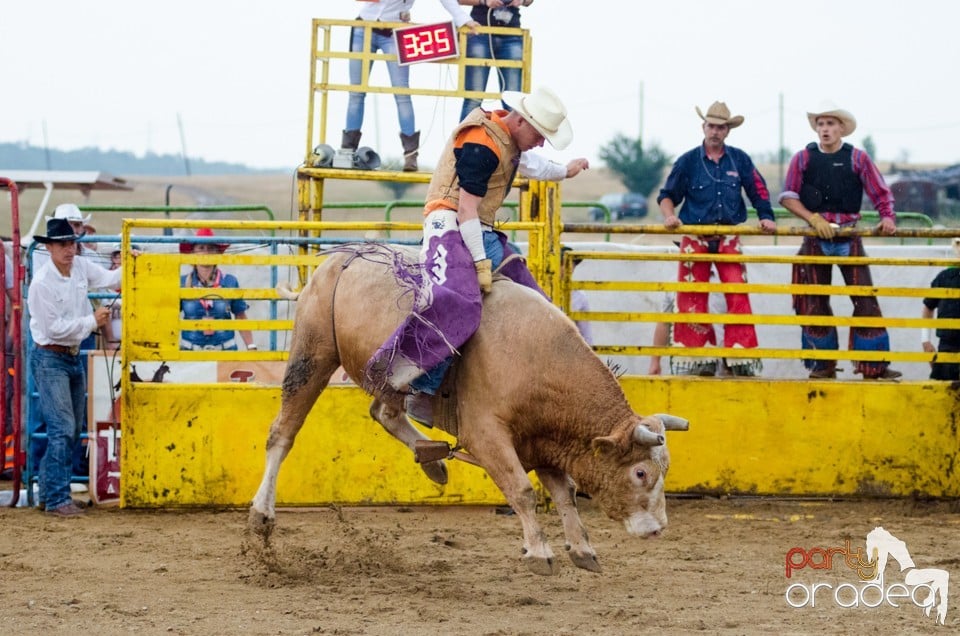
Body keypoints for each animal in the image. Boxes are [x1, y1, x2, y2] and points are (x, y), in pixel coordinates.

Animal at [249, 245, 688, 576]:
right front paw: (540, 553)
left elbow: (565, 496)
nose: (659, 529)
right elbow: (522, 491)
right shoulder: (487, 435)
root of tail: (338, 261)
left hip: (385, 374)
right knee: (282, 434)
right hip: (312, 354)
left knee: (386, 412)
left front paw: (581, 549)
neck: (535, 356)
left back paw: (431, 459)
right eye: (640, 472)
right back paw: (261, 513)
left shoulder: (545, 441)